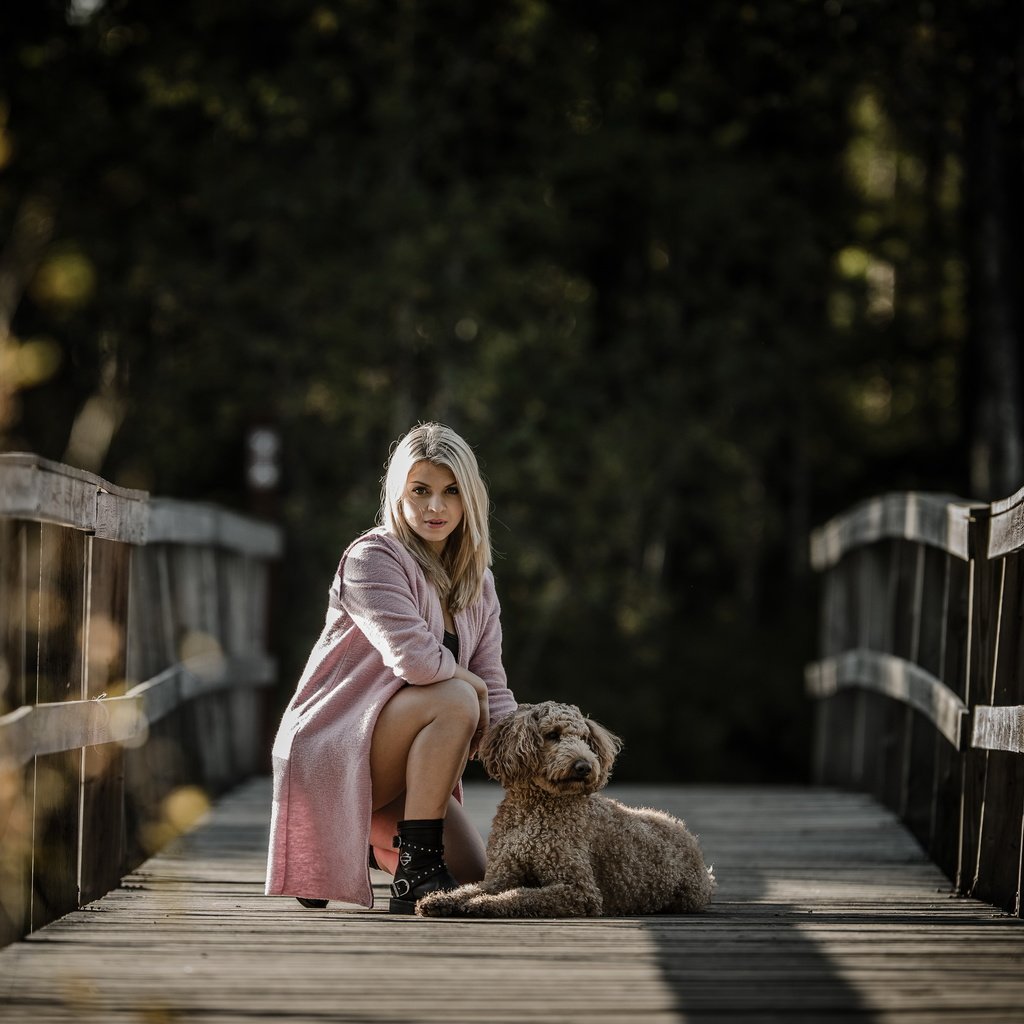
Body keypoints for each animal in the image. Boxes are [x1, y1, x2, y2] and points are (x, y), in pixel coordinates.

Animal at [415, 700, 712, 917]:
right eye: (553, 735)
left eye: (585, 738)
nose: (585, 767)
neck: (535, 809)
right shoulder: (500, 876)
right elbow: (472, 889)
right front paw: (440, 899)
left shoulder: (579, 890)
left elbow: (522, 895)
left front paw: (482, 905)